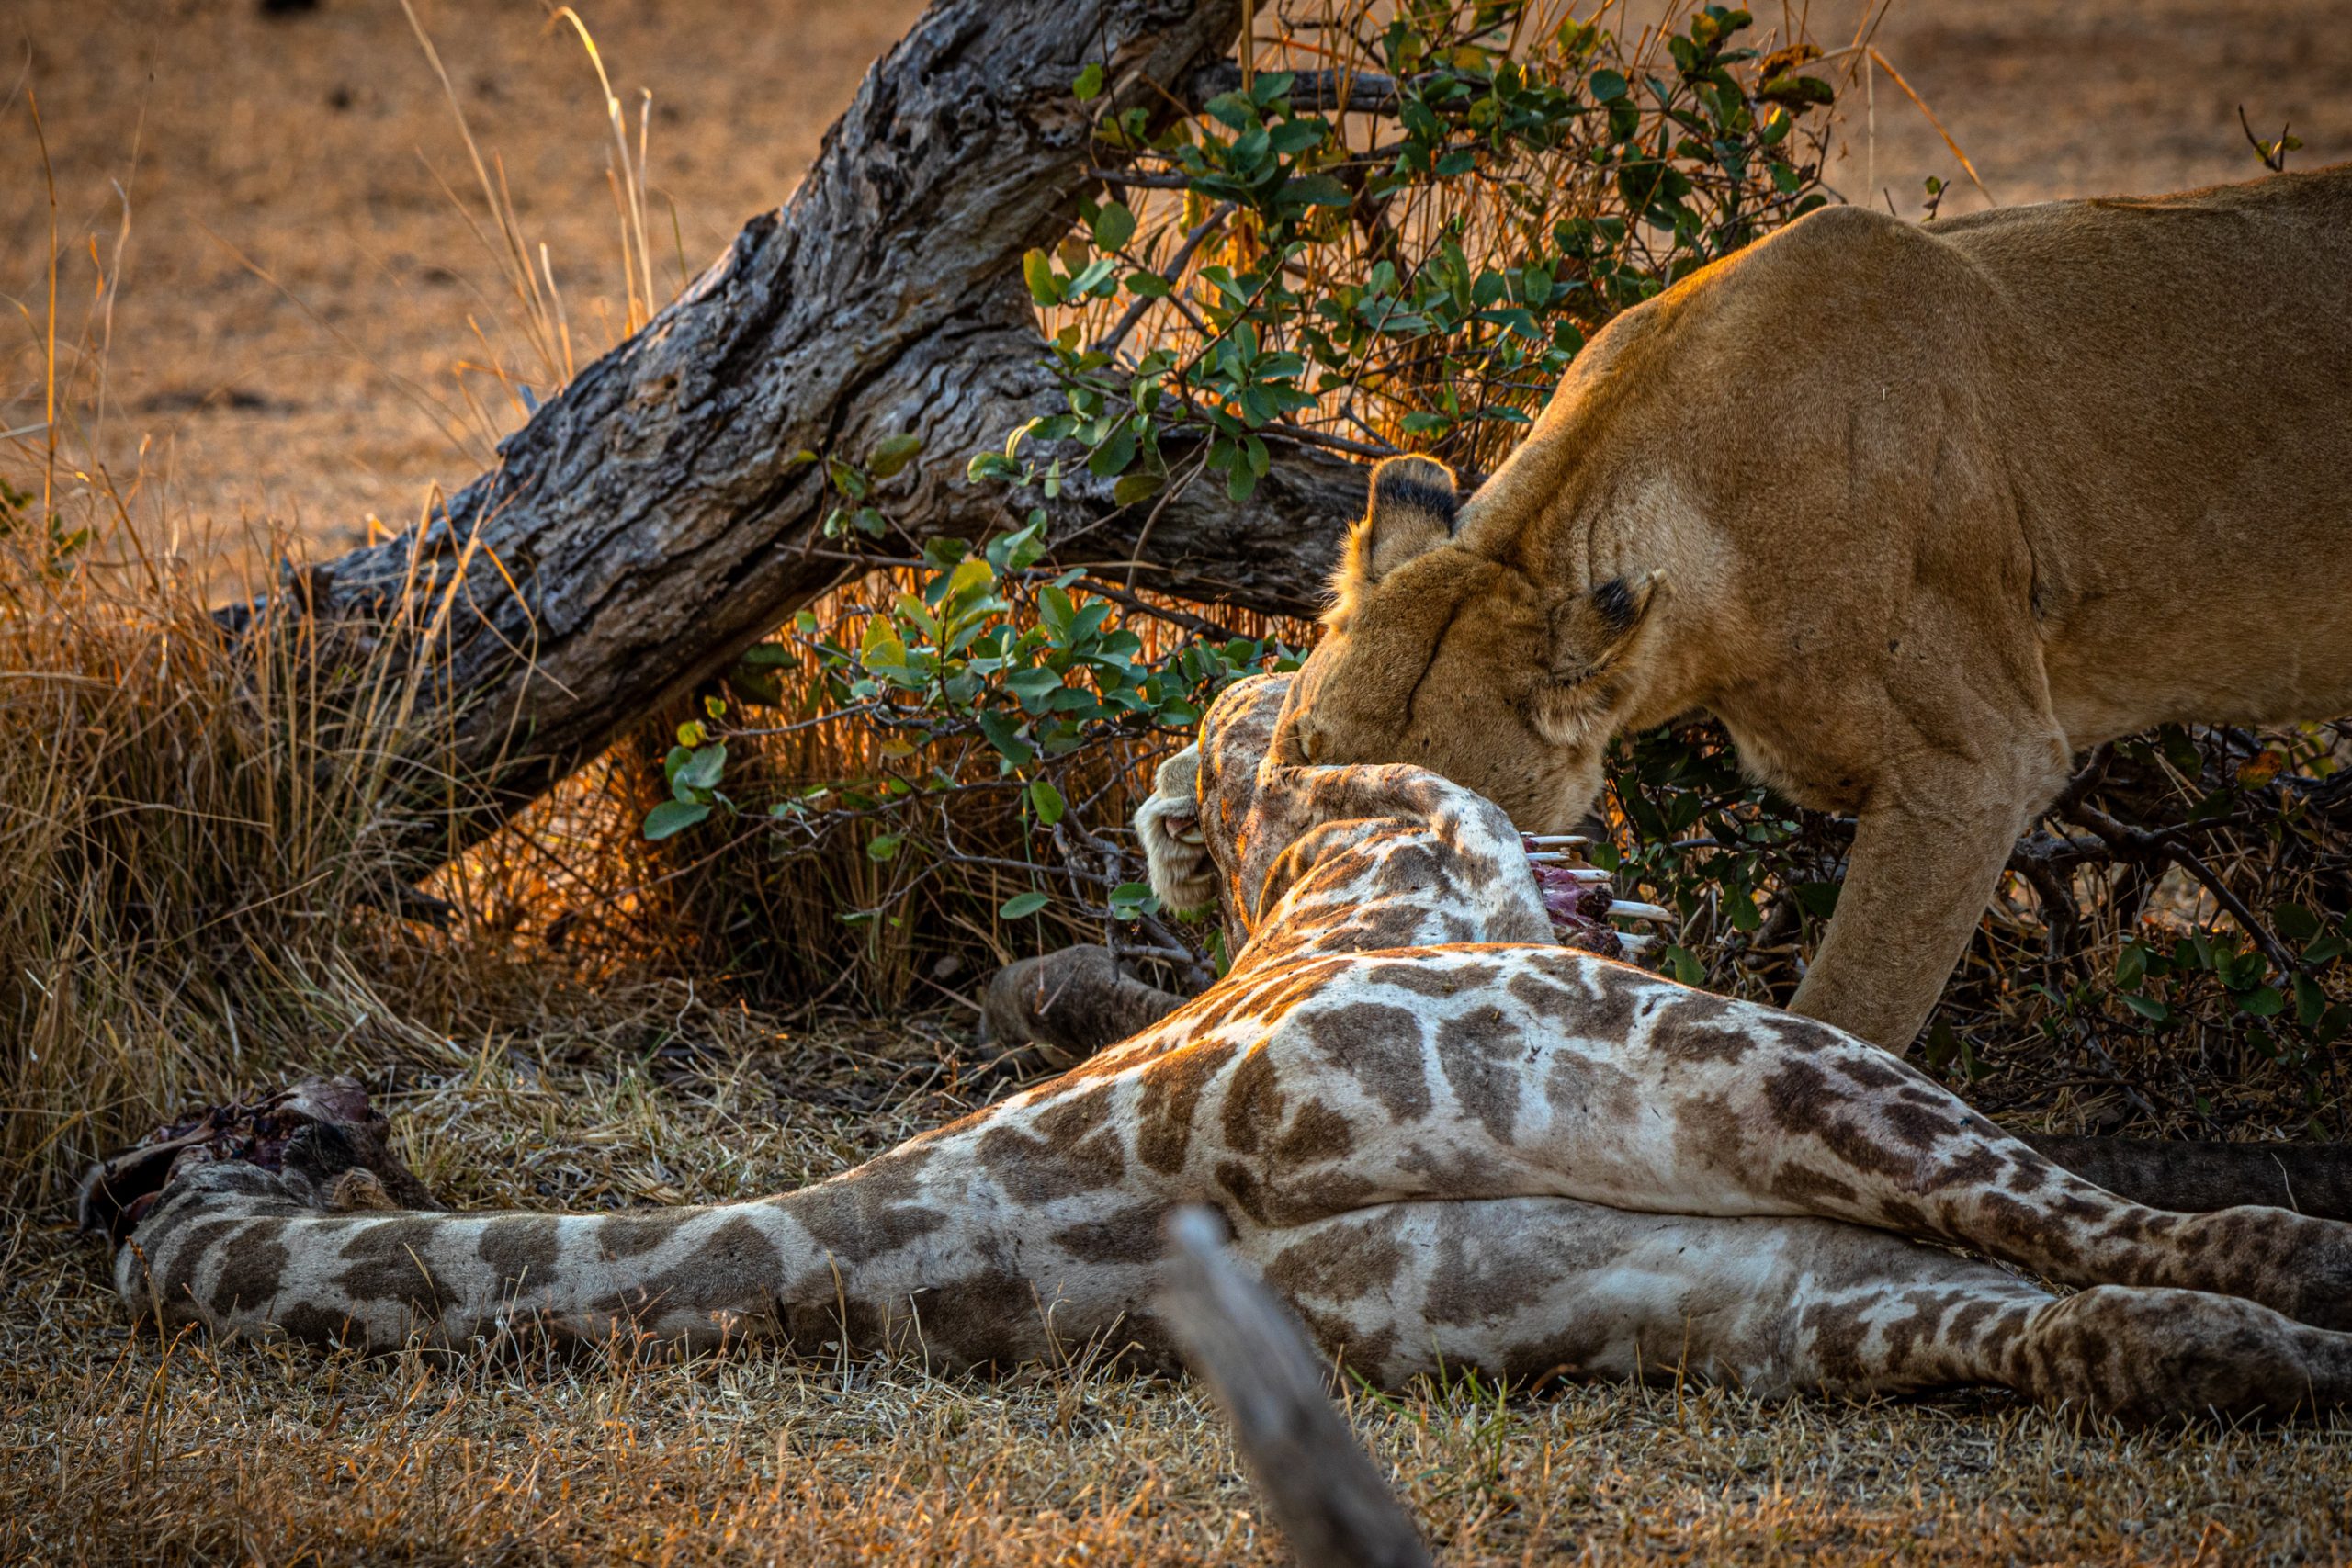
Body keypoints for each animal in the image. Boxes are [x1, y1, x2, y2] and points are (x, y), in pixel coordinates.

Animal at [90, 675, 2352, 1421]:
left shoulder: (1676, 1263)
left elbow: (2076, 1293)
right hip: (1734, 1069)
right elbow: (2110, 1232)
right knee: (2106, 1241)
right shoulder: (1697, 1082)